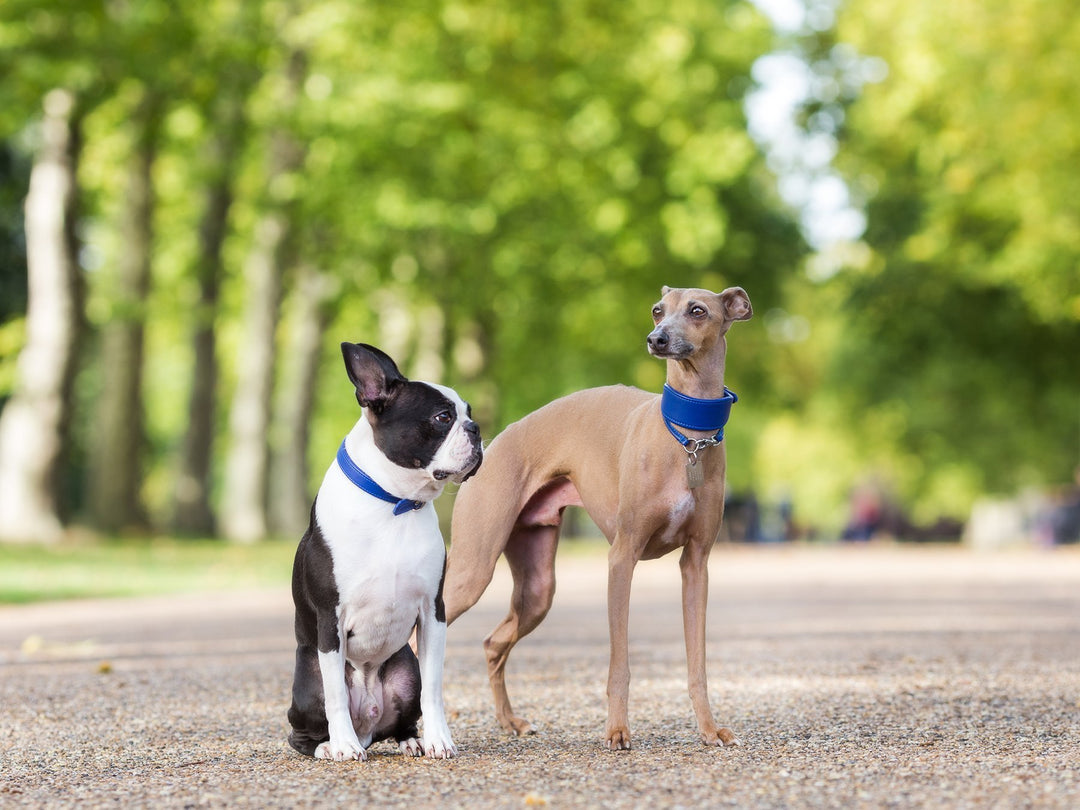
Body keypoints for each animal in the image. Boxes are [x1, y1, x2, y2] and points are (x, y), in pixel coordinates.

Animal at [291, 343, 486, 760]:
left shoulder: (434, 613)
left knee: (402, 718)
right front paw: (344, 747)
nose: (476, 429)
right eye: (443, 417)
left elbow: (434, 688)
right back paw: (330, 745)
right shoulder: (329, 619)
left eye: (469, 412)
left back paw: (411, 740)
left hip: (405, 668)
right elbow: (335, 696)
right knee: (305, 729)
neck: (394, 503)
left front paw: (439, 739)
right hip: (307, 680)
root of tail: (368, 724)